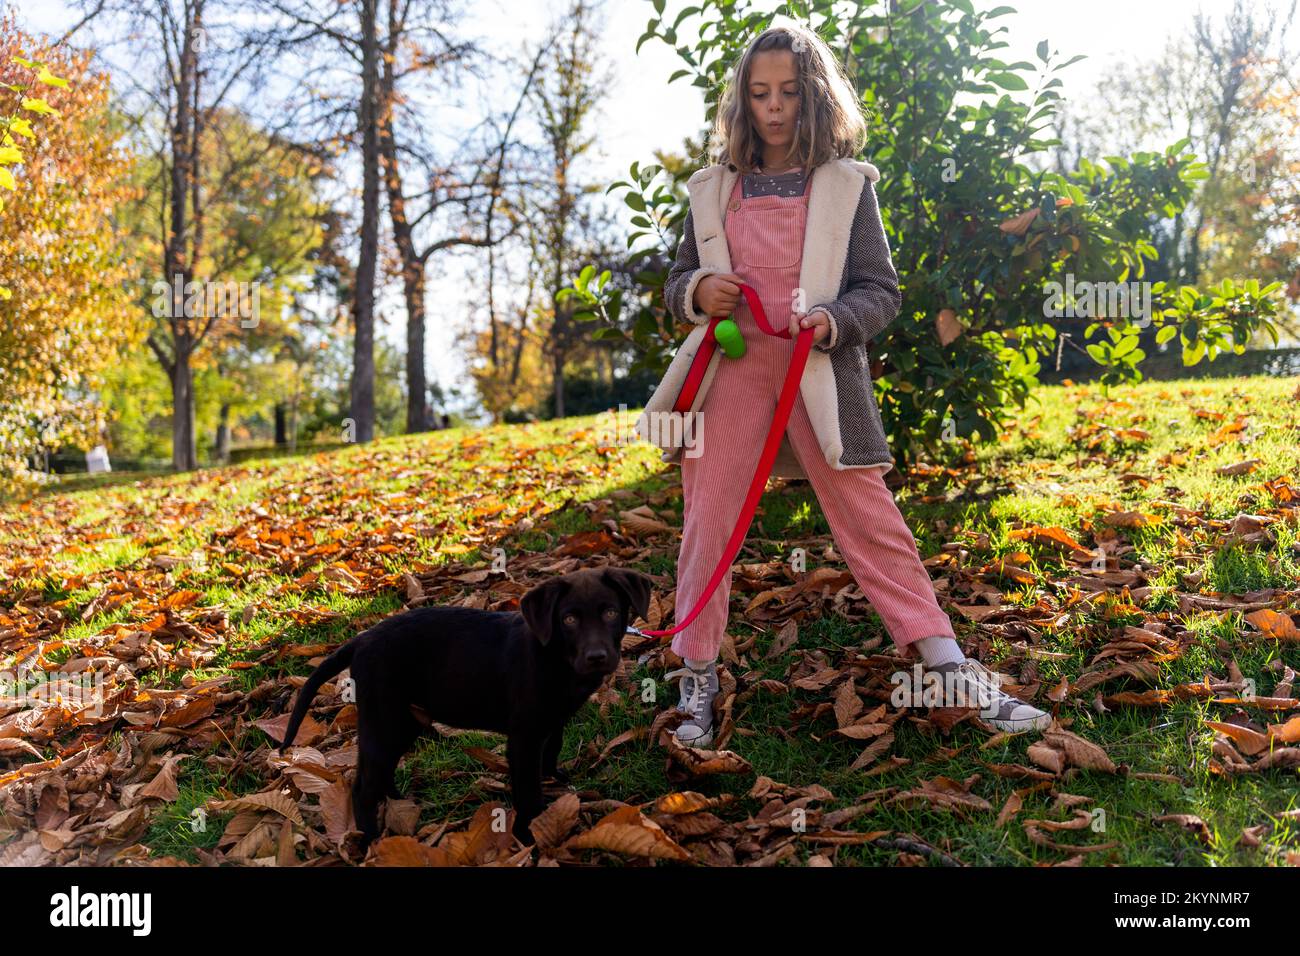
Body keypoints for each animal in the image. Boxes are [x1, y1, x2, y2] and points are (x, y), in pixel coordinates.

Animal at [279, 567, 655, 842]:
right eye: (569, 619)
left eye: (611, 612)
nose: (597, 657)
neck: (555, 658)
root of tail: (361, 639)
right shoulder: (523, 737)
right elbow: (528, 789)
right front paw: (529, 834)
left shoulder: (552, 722)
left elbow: (552, 750)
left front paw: (556, 781)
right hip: (383, 718)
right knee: (363, 786)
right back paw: (371, 839)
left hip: (404, 721)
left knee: (383, 771)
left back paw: (400, 804)